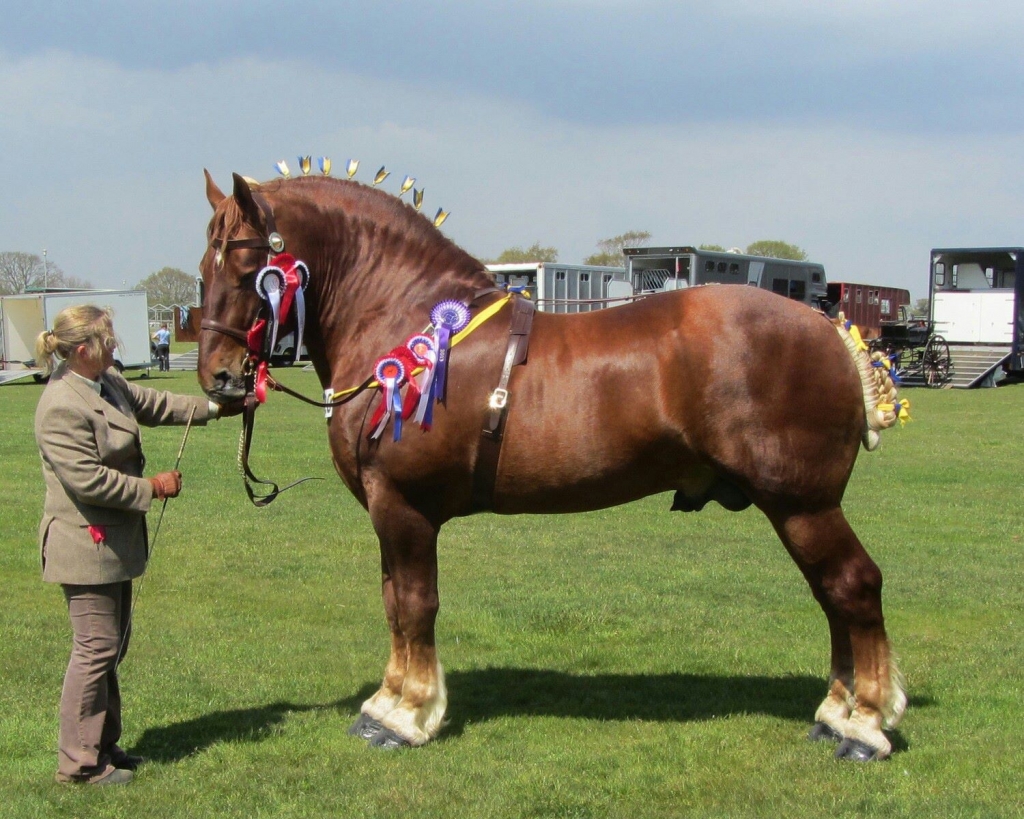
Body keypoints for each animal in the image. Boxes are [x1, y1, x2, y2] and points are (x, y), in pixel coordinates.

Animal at [197, 170, 907, 761]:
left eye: (248, 262)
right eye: (205, 264)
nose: (220, 378)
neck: (408, 324)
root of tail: (829, 331)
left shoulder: (404, 507)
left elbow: (416, 605)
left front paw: (408, 714)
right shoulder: (387, 510)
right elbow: (393, 603)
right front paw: (387, 702)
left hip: (804, 505)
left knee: (853, 587)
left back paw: (866, 724)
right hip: (798, 510)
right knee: (832, 596)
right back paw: (837, 714)